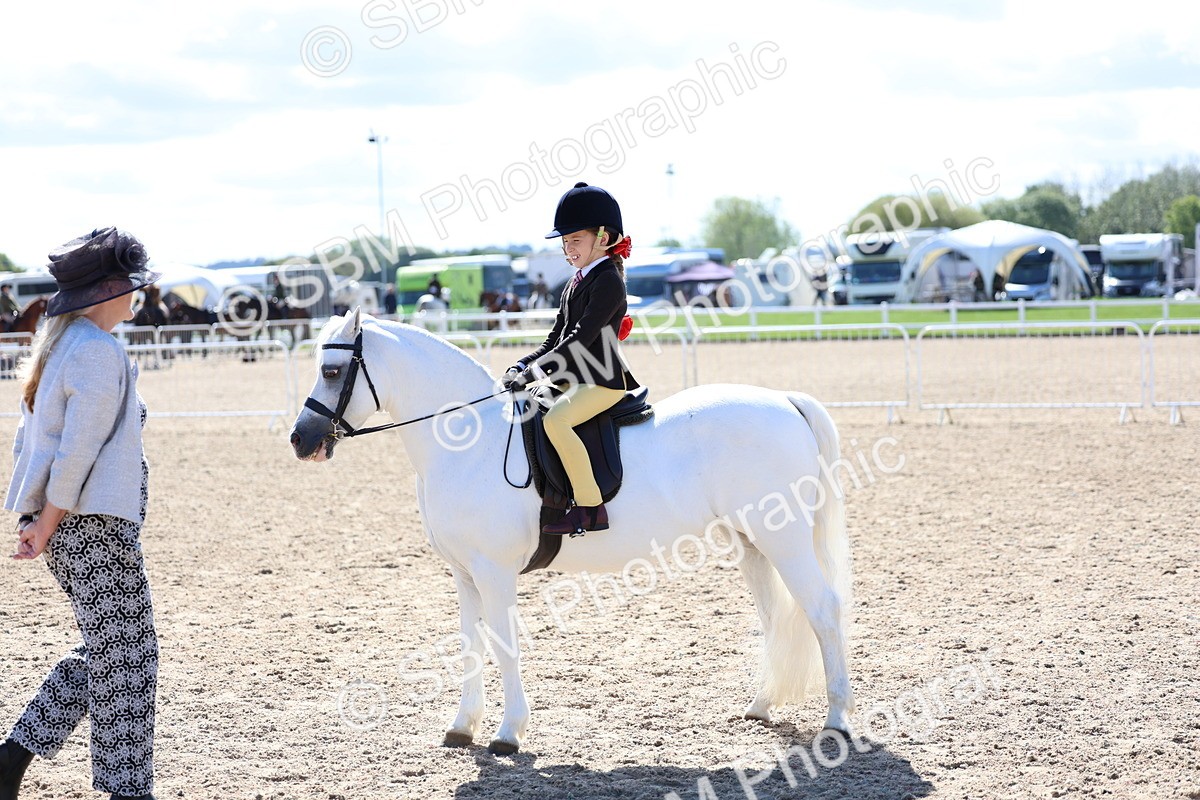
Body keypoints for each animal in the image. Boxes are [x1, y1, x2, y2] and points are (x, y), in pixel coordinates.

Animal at [289, 310, 854, 755]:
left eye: (332, 370)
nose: (300, 439)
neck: (469, 441)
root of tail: (784, 401)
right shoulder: (464, 574)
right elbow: (471, 644)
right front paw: (461, 728)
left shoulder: (494, 572)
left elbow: (504, 644)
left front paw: (508, 734)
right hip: (754, 544)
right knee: (775, 617)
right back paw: (760, 707)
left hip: (783, 540)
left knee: (822, 611)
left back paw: (838, 722)